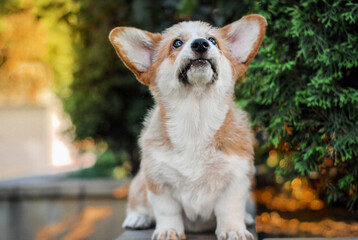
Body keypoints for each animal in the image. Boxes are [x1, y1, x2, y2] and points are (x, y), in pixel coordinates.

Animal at [109, 15, 266, 240]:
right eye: (177, 43)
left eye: (213, 40)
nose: (201, 43)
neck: (196, 117)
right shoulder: (158, 181)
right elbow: (167, 211)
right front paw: (168, 231)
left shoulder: (236, 179)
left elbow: (230, 208)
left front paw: (233, 230)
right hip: (139, 181)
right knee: (137, 203)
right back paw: (138, 218)